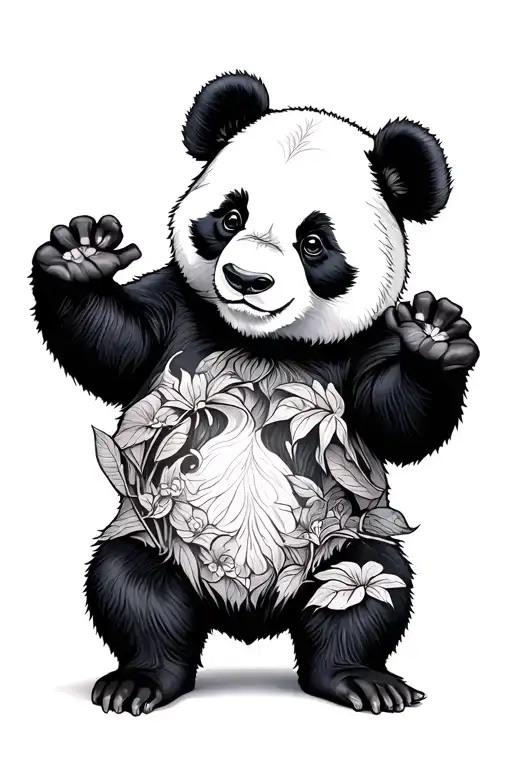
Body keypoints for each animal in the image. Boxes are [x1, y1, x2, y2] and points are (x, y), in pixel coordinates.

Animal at [31, 72, 479, 716]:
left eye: (314, 242)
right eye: (230, 216)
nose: (247, 280)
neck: (259, 344)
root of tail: (245, 618)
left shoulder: (362, 345)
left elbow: (395, 419)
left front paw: (434, 336)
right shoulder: (177, 309)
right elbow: (114, 348)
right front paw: (81, 256)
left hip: (346, 545)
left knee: (369, 596)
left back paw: (361, 680)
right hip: (151, 529)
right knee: (135, 592)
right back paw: (140, 680)